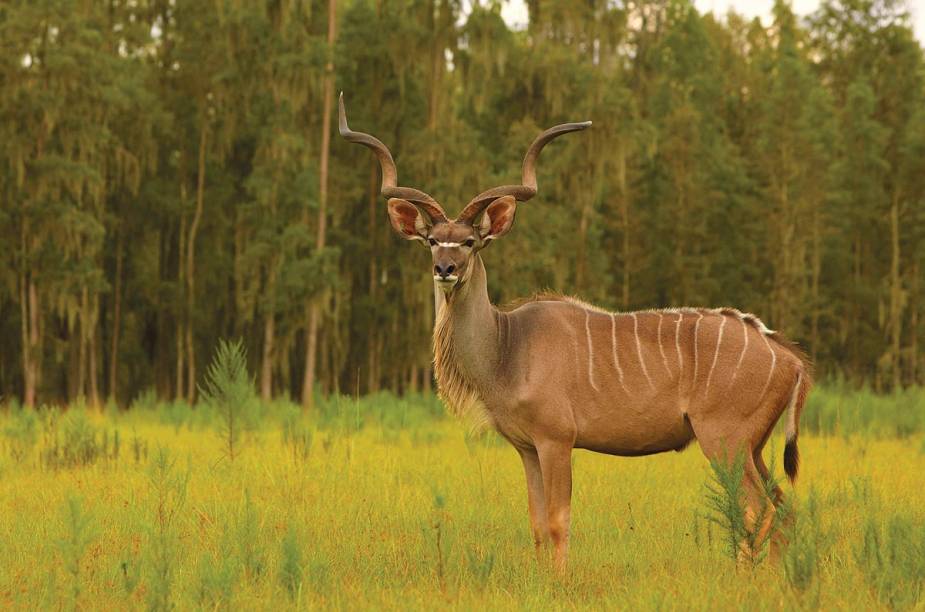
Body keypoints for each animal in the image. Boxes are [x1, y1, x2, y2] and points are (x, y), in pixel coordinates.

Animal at [340, 93, 808, 568]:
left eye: (470, 242)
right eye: (433, 240)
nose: (445, 269)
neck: (507, 346)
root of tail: (790, 359)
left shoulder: (557, 440)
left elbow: (557, 522)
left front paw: (560, 579)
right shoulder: (527, 448)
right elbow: (535, 524)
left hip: (725, 442)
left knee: (758, 510)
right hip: (752, 448)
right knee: (783, 508)